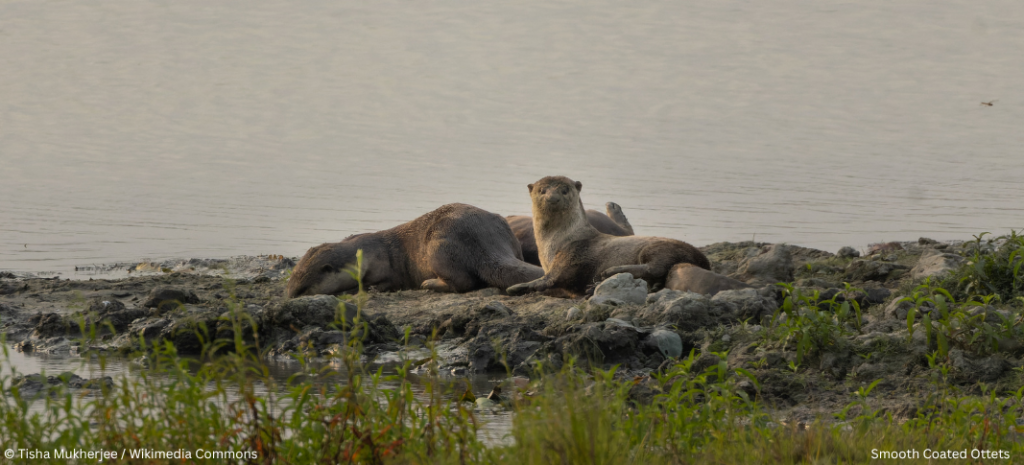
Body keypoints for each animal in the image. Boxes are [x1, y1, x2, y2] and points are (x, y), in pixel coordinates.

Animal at [287, 203, 545, 298]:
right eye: (292, 282)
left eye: (303, 289)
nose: (289, 296)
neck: (365, 253)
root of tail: (483, 239)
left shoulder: (384, 268)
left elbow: (383, 283)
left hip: (438, 247)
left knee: (464, 282)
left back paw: (429, 284)